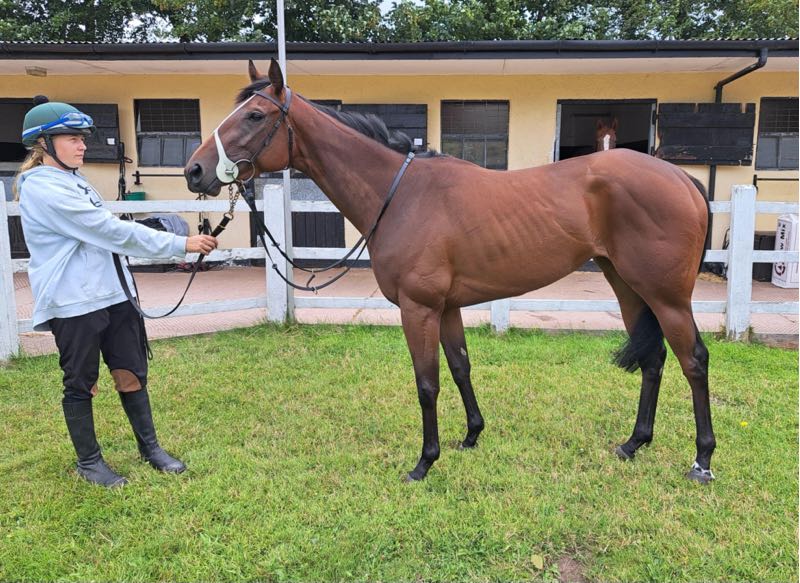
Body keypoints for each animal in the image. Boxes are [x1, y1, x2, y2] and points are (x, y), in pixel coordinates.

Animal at [184, 59, 715, 484]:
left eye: (254, 116)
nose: (194, 171)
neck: (400, 194)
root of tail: (680, 178)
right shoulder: (447, 308)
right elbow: (460, 367)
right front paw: (471, 436)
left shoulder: (418, 308)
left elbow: (427, 383)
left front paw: (424, 462)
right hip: (628, 287)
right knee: (654, 359)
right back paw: (633, 444)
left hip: (667, 296)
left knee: (693, 361)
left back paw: (702, 461)